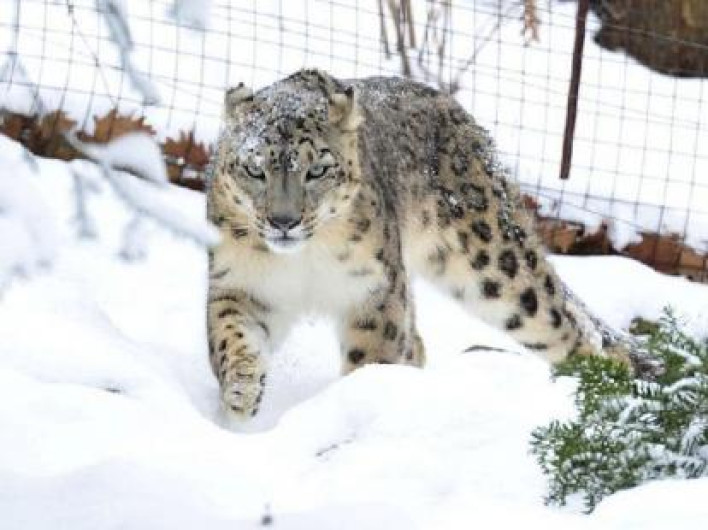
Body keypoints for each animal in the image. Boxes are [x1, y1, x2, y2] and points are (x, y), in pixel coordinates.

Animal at [206, 68, 642, 420]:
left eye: (317, 170)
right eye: (254, 169)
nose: (283, 221)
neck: (305, 262)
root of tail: (464, 118)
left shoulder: (375, 291)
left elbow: (371, 355)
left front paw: (357, 399)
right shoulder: (239, 283)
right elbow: (229, 335)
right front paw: (242, 393)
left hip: (496, 266)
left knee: (570, 329)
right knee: (418, 344)